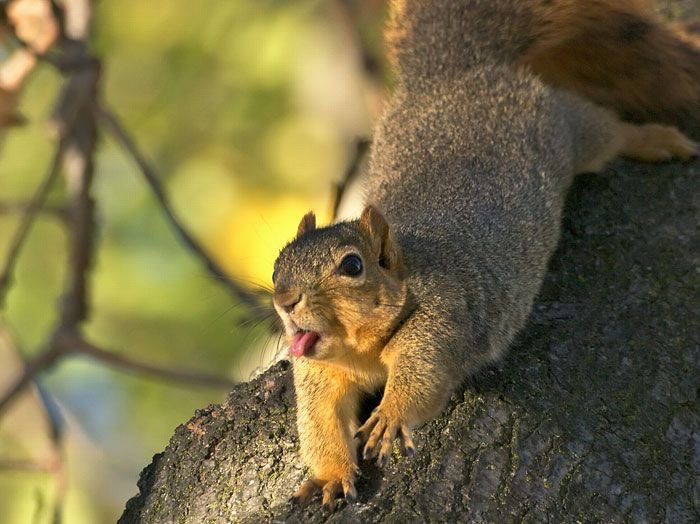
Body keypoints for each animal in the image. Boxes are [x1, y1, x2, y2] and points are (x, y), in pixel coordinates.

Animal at [271, 0, 699, 508]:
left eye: (352, 265)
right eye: (276, 268)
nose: (284, 300)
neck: (362, 349)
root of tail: (455, 73)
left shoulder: (446, 317)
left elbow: (424, 377)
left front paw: (391, 415)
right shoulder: (319, 375)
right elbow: (319, 424)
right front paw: (330, 475)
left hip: (563, 126)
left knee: (604, 128)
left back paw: (655, 140)